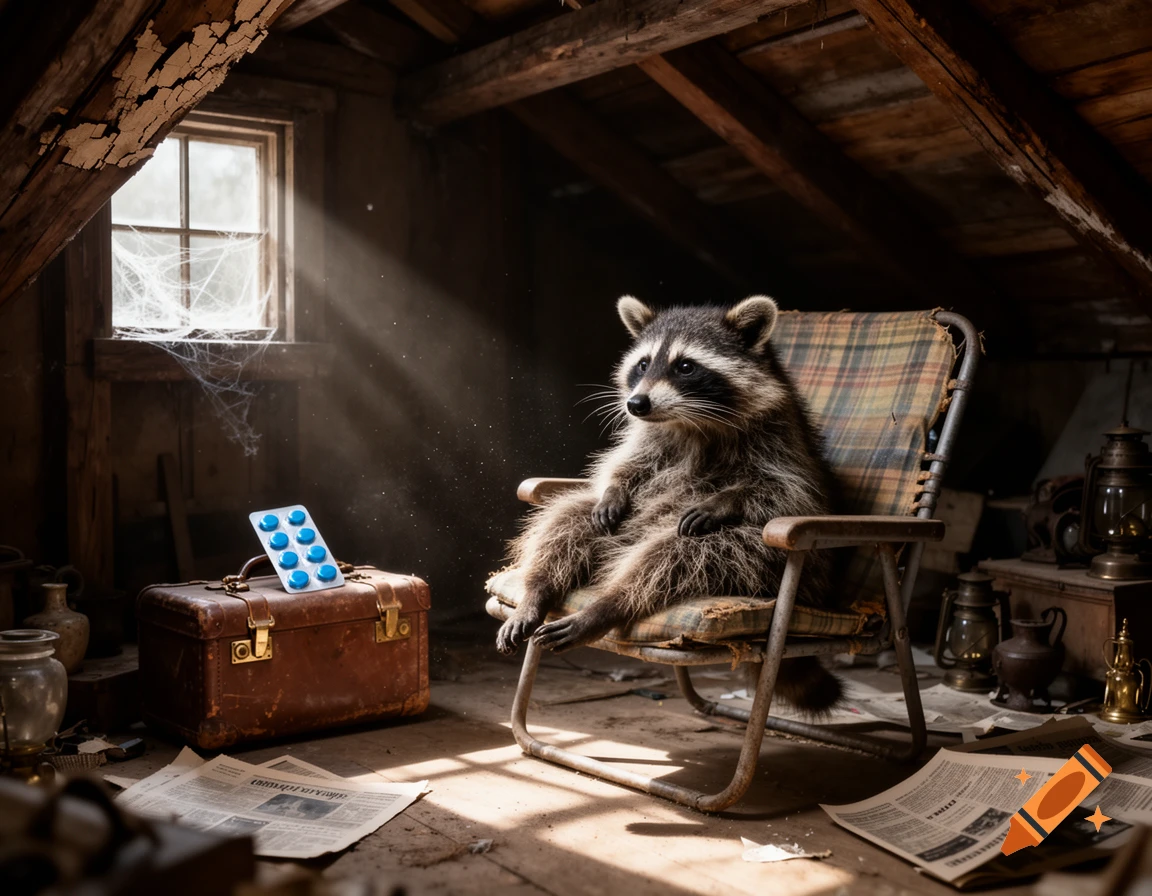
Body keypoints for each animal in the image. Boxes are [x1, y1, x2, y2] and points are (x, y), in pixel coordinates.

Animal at [496, 295, 843, 712]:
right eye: (643, 364)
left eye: (686, 366)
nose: (636, 403)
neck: (690, 420)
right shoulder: (649, 436)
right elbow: (626, 464)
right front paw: (613, 487)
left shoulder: (782, 437)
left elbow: (785, 490)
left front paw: (724, 500)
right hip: (623, 521)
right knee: (570, 517)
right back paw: (537, 590)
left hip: (771, 561)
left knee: (685, 553)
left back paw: (611, 602)